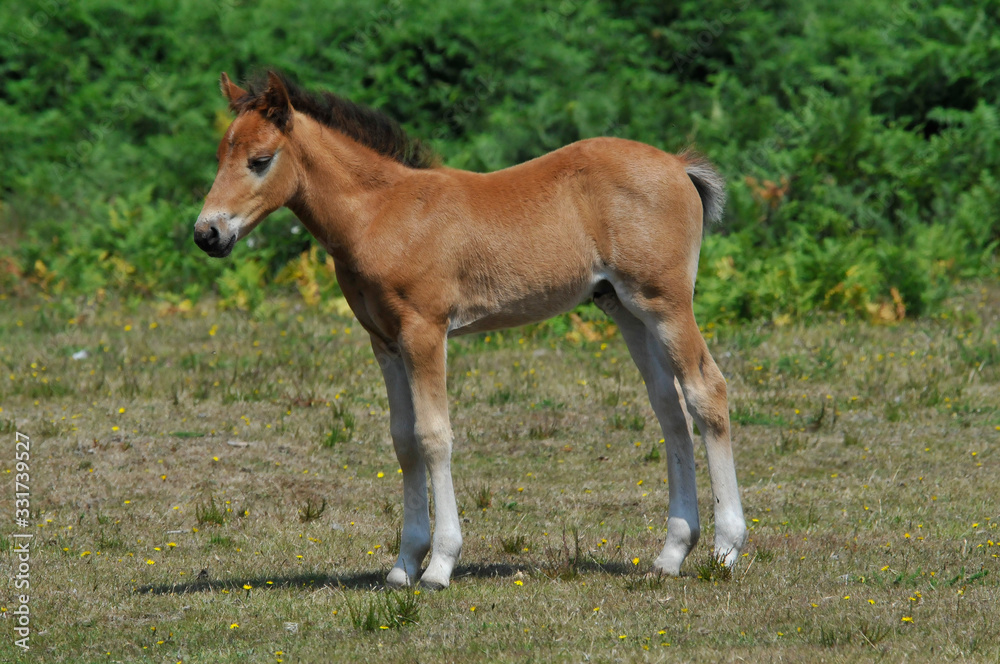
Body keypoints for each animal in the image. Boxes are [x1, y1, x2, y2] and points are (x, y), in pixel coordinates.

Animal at [193, 72, 744, 588]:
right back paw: (671, 554)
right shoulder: (384, 342)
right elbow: (403, 440)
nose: (207, 234)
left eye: (260, 160)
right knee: (669, 409)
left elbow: (434, 436)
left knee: (706, 391)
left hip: (666, 304)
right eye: (220, 154)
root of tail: (678, 164)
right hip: (627, 310)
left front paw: (439, 564)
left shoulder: (424, 331)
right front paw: (403, 566)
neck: (381, 213)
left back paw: (725, 549)